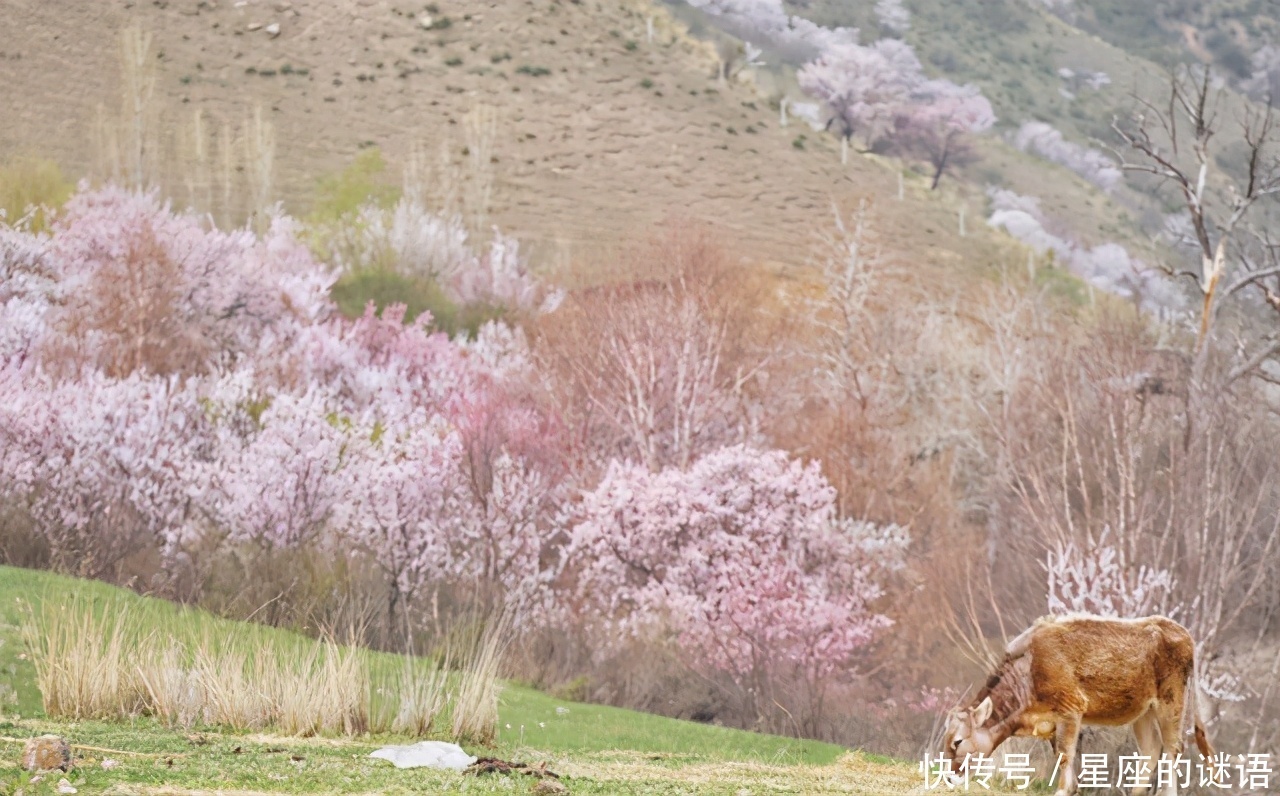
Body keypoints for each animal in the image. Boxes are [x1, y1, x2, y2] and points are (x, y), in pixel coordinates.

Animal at [942, 616, 1208, 796]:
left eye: (957, 741)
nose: (949, 778)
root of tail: (1178, 629)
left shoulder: (1071, 708)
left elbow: (1064, 754)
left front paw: (1063, 790)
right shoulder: (1053, 720)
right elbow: (1063, 756)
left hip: (1172, 701)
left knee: (1173, 749)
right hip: (1144, 711)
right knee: (1152, 749)